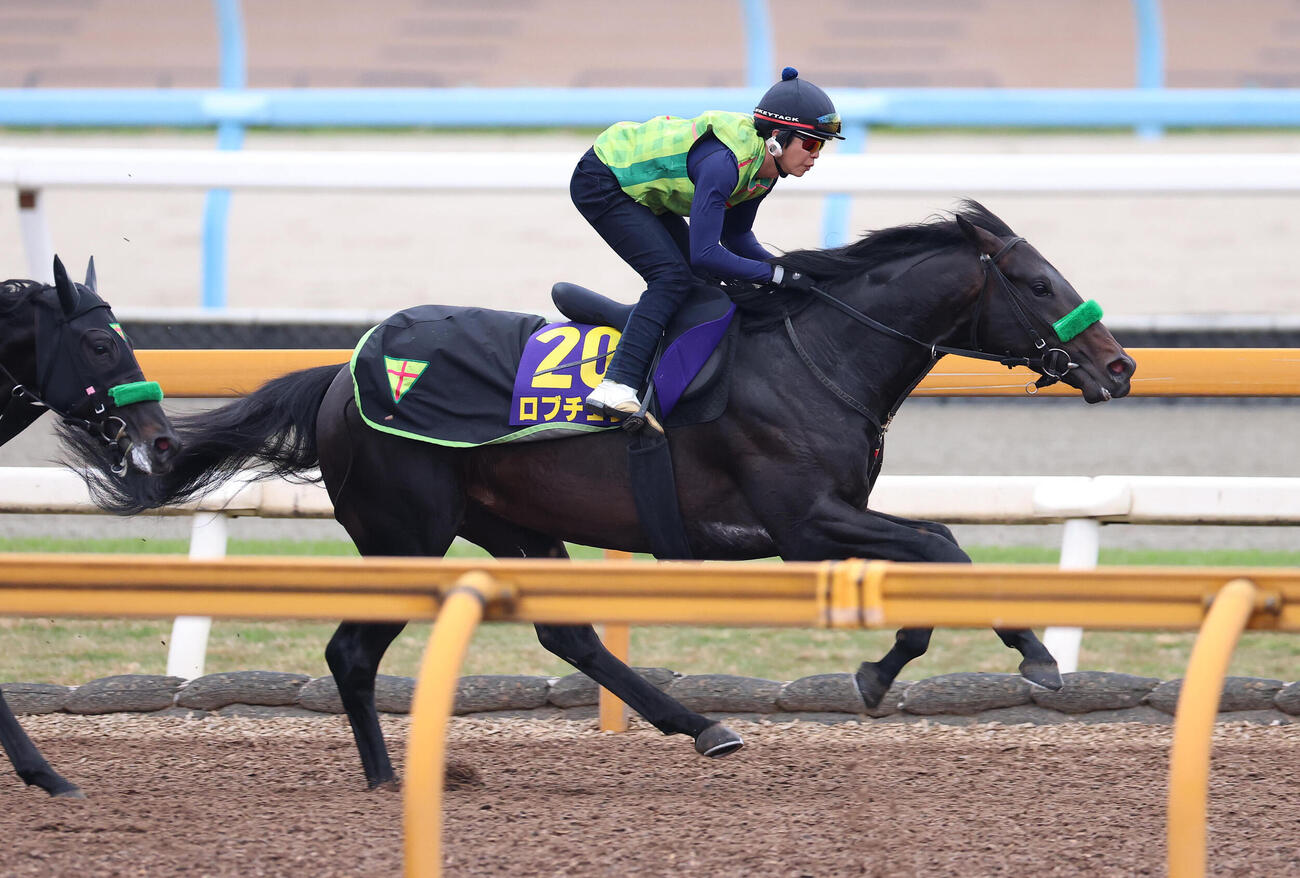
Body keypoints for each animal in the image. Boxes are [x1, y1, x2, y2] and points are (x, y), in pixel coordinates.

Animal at [75, 201, 1135, 791]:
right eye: (1039, 282)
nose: (1120, 365)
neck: (816, 351)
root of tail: (341, 372)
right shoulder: (804, 519)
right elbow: (945, 544)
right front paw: (1020, 656)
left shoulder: (825, 522)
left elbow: (929, 556)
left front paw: (901, 664)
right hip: (408, 529)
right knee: (350, 652)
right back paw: (384, 778)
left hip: (511, 525)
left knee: (567, 635)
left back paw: (702, 727)